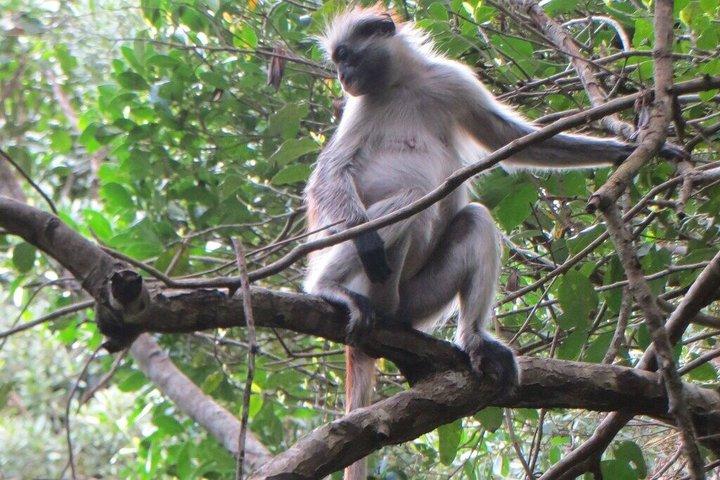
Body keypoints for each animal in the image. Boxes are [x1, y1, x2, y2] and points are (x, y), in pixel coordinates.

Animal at [303, 8, 685, 479]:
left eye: (346, 56)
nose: (342, 76)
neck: (400, 85)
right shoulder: (360, 107)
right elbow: (327, 177)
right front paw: (365, 242)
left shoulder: (450, 80)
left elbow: (508, 138)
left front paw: (627, 151)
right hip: (371, 282)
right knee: (410, 201)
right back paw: (327, 287)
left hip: (418, 300)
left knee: (476, 220)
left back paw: (473, 339)